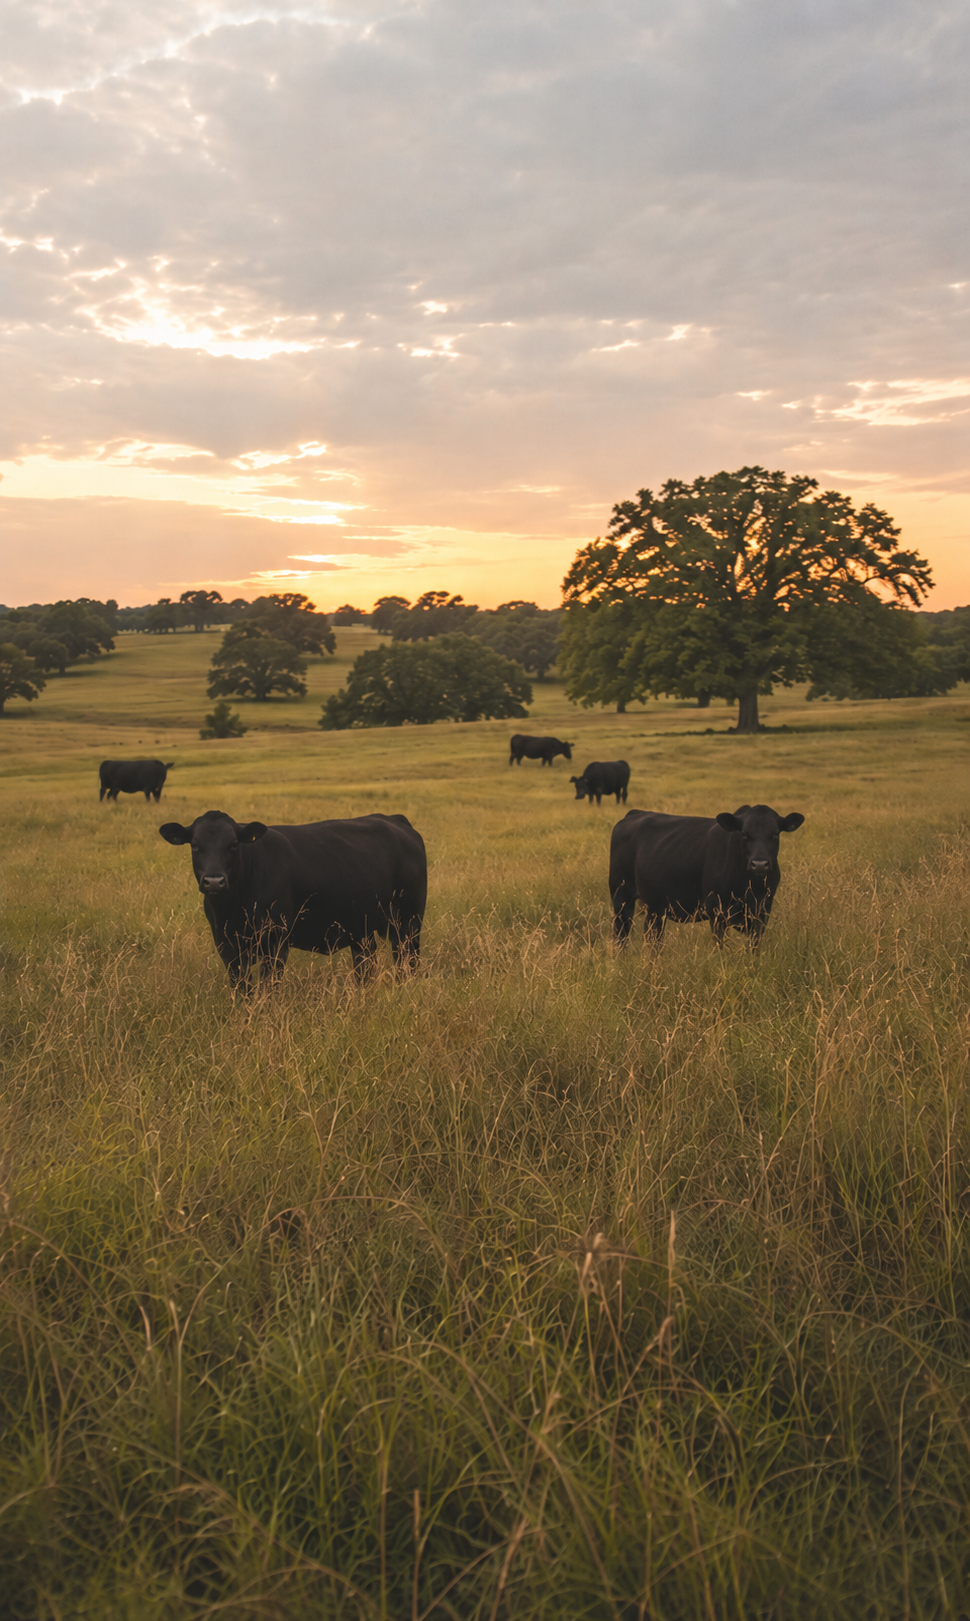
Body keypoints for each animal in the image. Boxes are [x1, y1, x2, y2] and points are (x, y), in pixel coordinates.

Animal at [159, 810, 427, 988]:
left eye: (233, 844)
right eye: (195, 845)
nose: (214, 881)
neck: (232, 910)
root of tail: (393, 819)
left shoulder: (275, 941)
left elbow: (269, 987)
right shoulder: (226, 945)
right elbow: (242, 989)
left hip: (408, 923)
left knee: (407, 963)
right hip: (361, 929)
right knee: (366, 966)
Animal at [609, 804, 805, 946]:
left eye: (775, 834)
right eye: (744, 834)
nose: (760, 864)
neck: (750, 885)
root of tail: (634, 813)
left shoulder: (762, 911)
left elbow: (753, 947)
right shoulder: (716, 909)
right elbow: (720, 946)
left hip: (656, 906)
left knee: (652, 936)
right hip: (621, 897)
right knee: (621, 934)